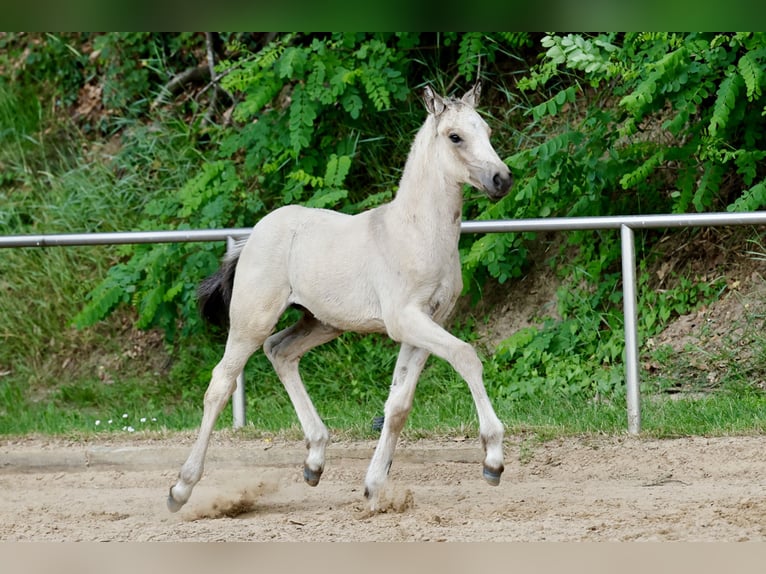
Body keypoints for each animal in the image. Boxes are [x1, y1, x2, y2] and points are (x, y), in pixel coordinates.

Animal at [167, 81, 513, 513]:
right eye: (455, 136)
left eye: (487, 130)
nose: (501, 179)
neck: (416, 233)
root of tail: (253, 235)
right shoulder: (406, 320)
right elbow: (466, 356)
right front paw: (493, 460)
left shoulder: (428, 323)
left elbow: (398, 406)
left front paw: (374, 488)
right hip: (251, 320)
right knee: (220, 384)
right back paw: (181, 488)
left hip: (320, 322)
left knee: (280, 351)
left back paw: (314, 461)